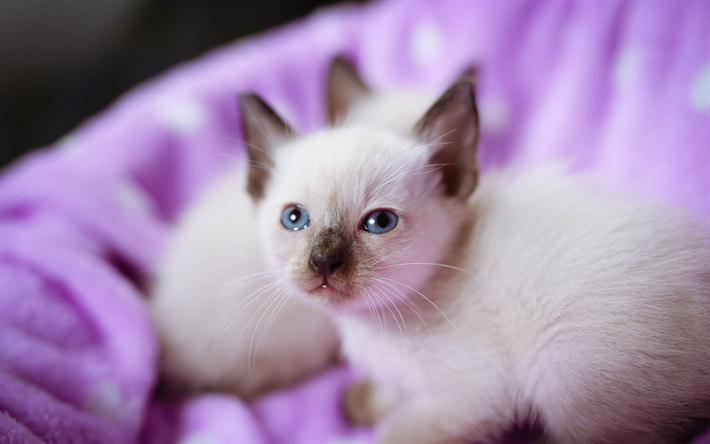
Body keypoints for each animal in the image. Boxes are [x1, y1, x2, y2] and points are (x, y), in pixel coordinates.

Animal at [236, 59, 708, 444]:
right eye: (294, 218)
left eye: (379, 223)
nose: (324, 262)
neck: (374, 325)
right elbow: (389, 399)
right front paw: (363, 400)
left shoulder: (473, 395)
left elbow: (399, 432)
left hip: (559, 371)